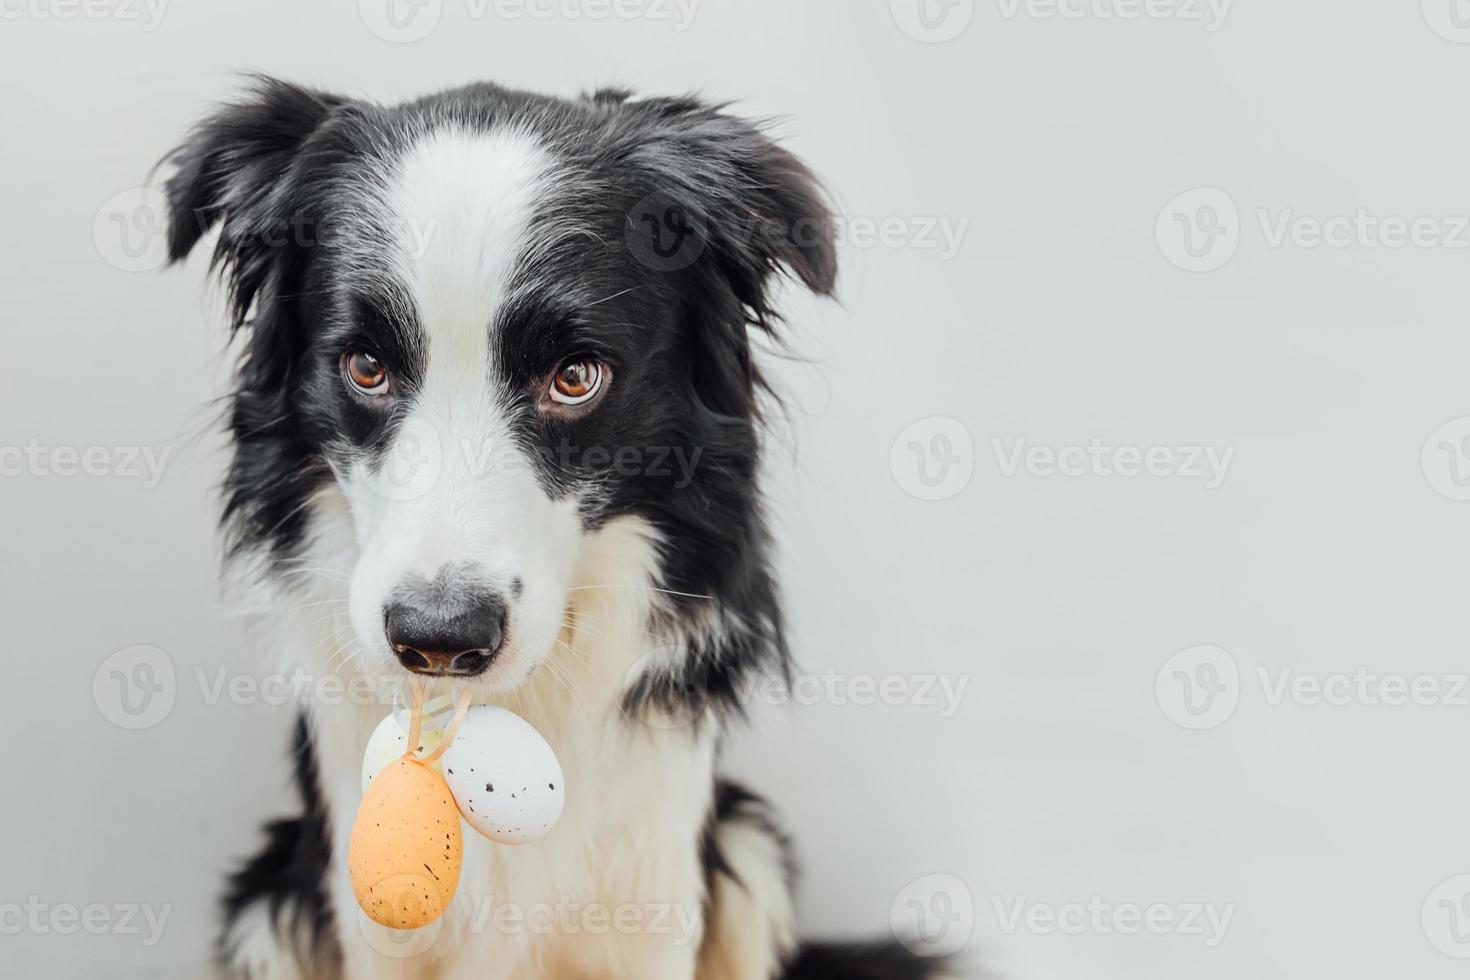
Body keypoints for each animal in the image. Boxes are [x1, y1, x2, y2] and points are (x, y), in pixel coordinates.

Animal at [160, 78, 940, 980]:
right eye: (365, 366)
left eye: (575, 377)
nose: (438, 640)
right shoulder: (372, 920)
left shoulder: (653, 898)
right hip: (266, 907)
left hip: (751, 852)